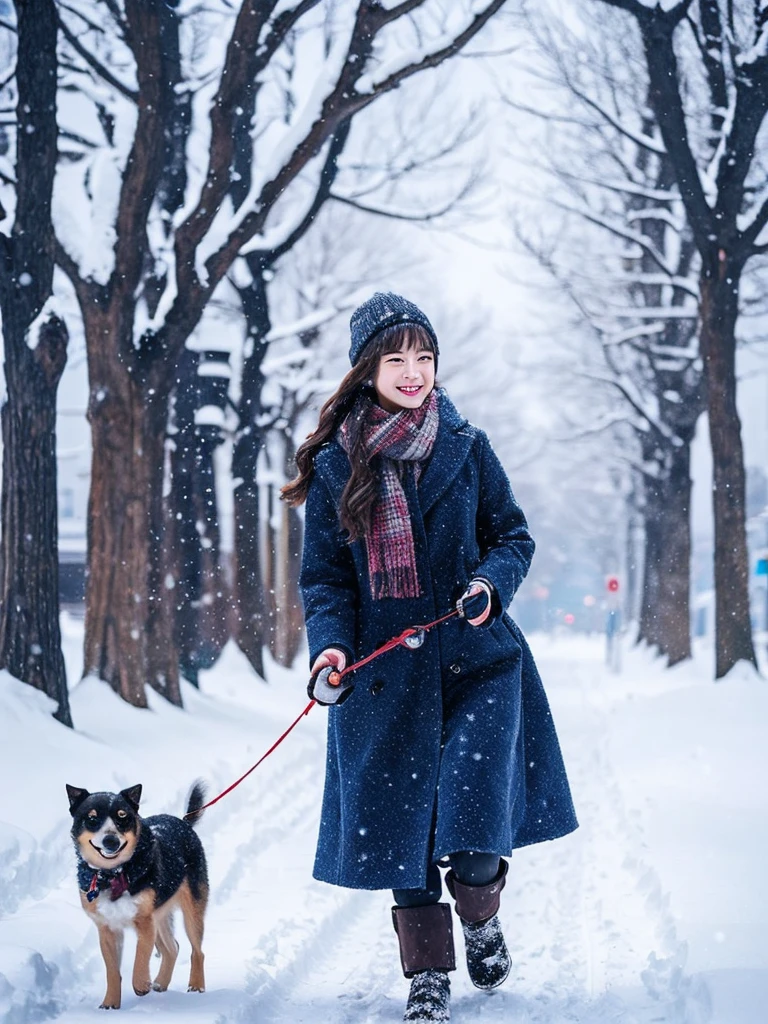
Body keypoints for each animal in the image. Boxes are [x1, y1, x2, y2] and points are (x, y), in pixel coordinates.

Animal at [66, 782, 208, 1007]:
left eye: (122, 816)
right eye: (92, 818)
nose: (111, 841)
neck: (113, 874)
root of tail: (184, 823)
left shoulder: (144, 920)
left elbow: (141, 956)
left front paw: (141, 985)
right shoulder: (107, 927)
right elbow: (111, 970)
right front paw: (110, 1004)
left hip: (191, 907)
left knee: (197, 951)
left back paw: (196, 987)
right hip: (160, 912)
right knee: (173, 947)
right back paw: (161, 982)